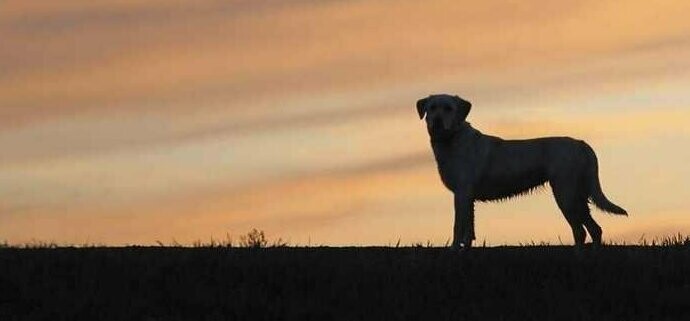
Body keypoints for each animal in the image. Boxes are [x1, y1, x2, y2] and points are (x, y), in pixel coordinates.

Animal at [416, 94, 628, 249]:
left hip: (565, 194)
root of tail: (581, 144)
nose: (436, 120)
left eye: (448, 108)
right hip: (576, 194)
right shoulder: (467, 197)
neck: (452, 139)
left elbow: (458, 226)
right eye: (432, 108)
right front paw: (465, 248)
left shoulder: (462, 193)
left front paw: (454, 249)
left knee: (583, 229)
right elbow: (469, 227)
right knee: (591, 229)